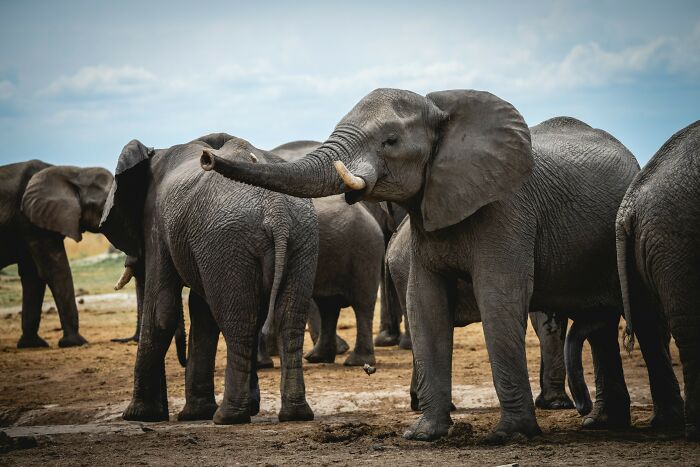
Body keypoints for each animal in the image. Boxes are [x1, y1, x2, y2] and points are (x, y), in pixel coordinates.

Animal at [0, 160, 113, 348]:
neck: (75, 172)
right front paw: (75, 342)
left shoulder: (34, 221)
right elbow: (55, 271)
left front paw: (32, 344)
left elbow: (33, 277)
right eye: (106, 204)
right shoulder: (32, 221)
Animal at [99, 133, 318, 424]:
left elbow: (161, 310)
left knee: (239, 321)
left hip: (229, 240)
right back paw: (295, 414)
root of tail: (277, 212)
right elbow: (200, 311)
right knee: (286, 320)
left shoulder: (155, 222)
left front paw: (138, 416)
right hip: (300, 238)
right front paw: (193, 414)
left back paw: (227, 417)